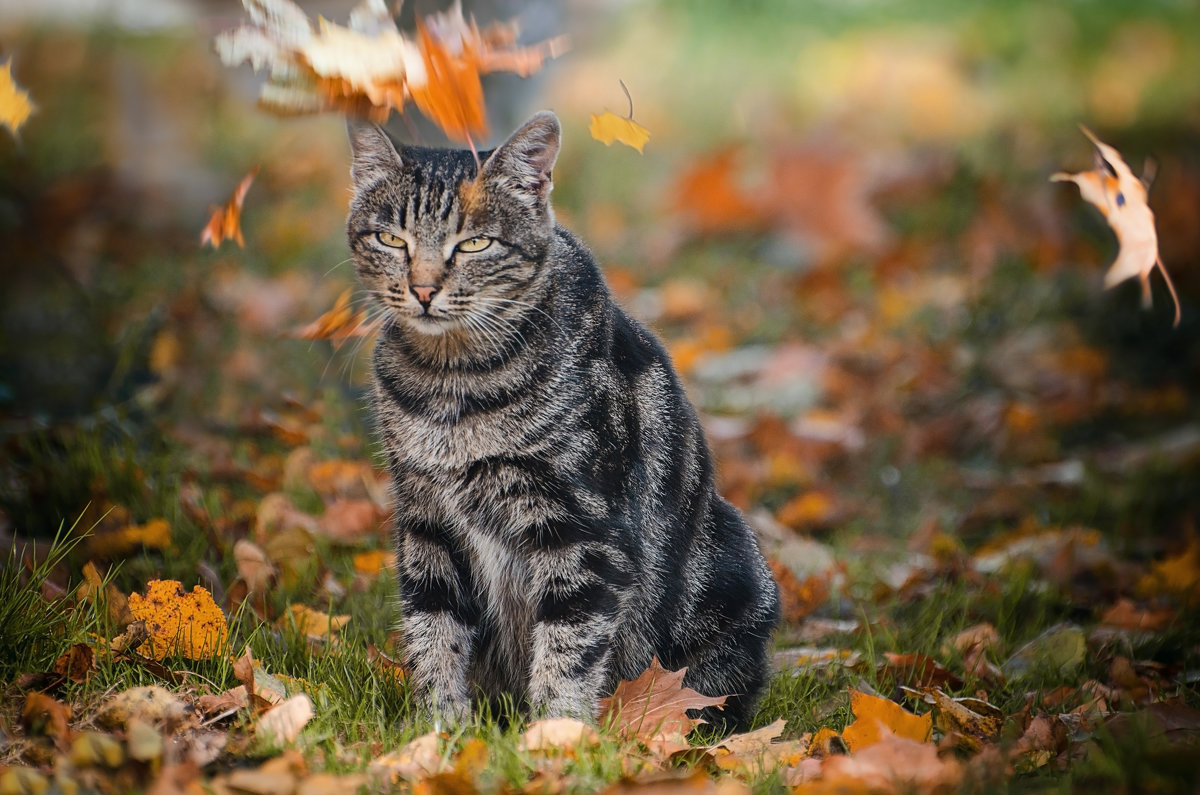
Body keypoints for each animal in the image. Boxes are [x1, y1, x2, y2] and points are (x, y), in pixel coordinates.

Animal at [343, 112, 782, 734]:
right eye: (391, 239)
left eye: (474, 243)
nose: (423, 289)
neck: (452, 382)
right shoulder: (425, 523)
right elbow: (433, 634)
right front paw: (440, 732)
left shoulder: (583, 530)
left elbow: (568, 647)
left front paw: (555, 736)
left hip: (731, 574)